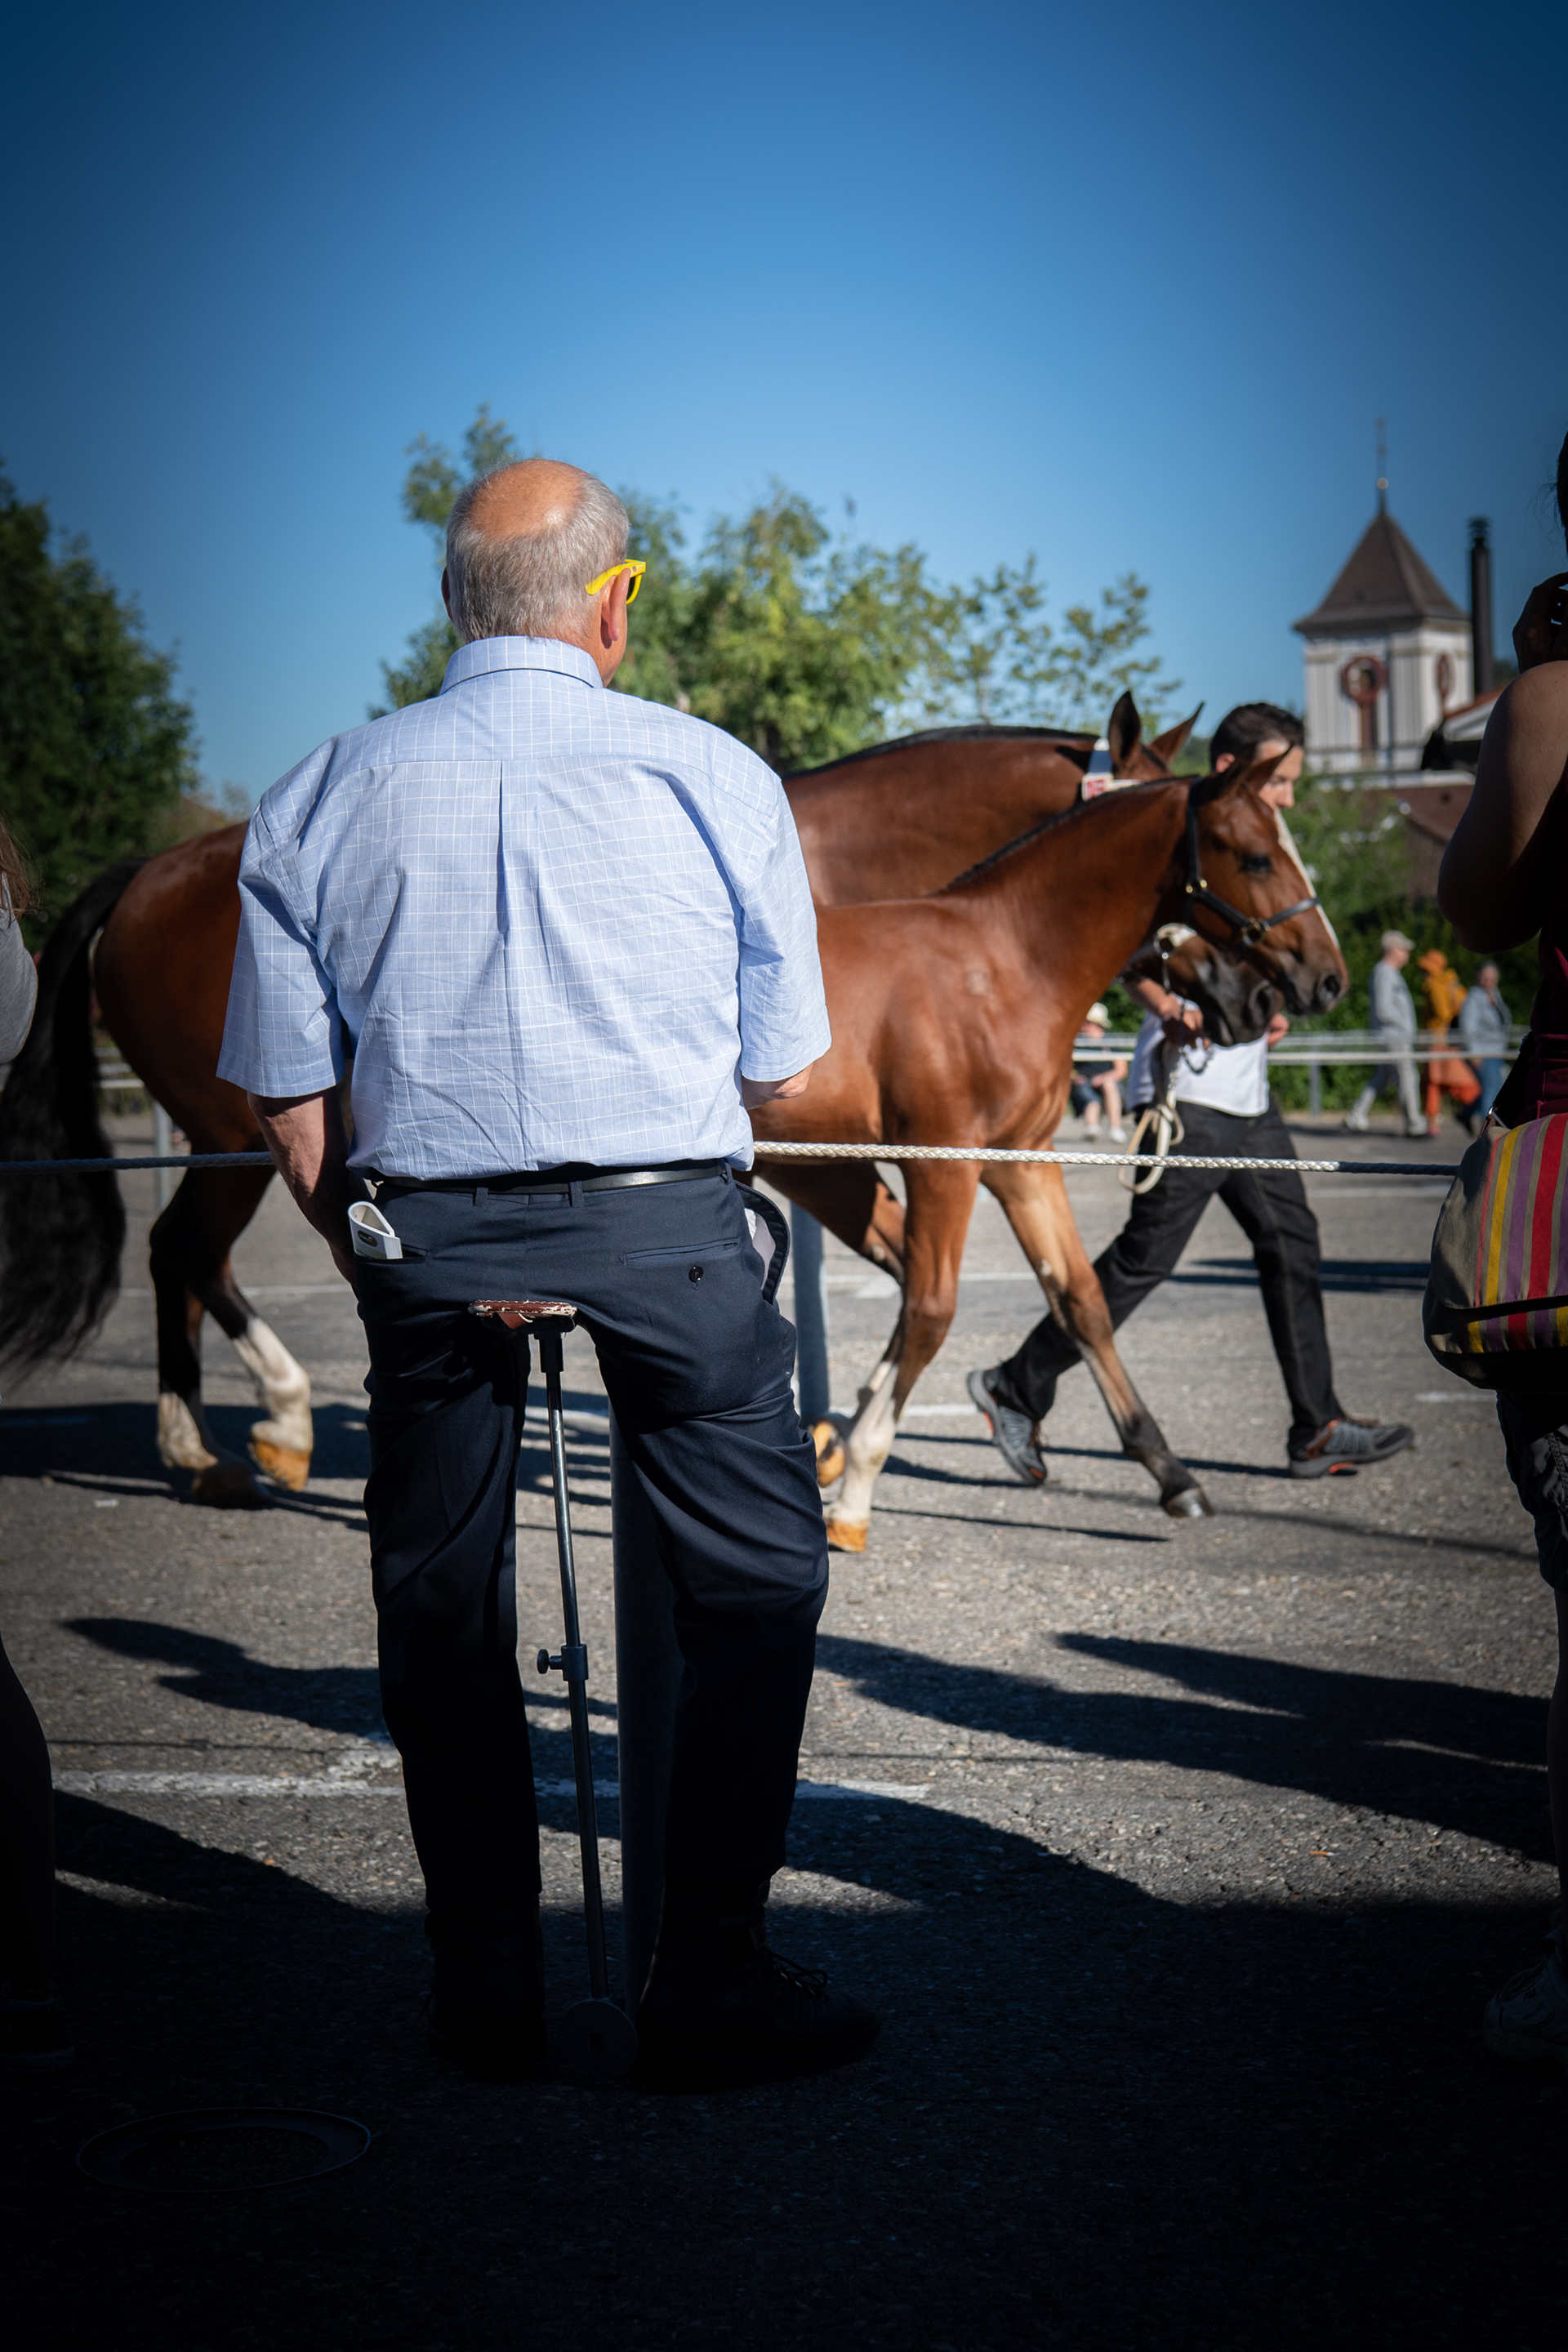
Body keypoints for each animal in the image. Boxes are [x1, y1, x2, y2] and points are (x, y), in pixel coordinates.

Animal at [748, 764, 1346, 1551]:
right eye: (1255, 858)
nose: (1318, 982)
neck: (1001, 967)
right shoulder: (945, 1164)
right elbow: (934, 1309)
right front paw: (856, 1493)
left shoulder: (1024, 1162)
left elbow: (1082, 1300)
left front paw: (1171, 1473)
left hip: (822, 1171)